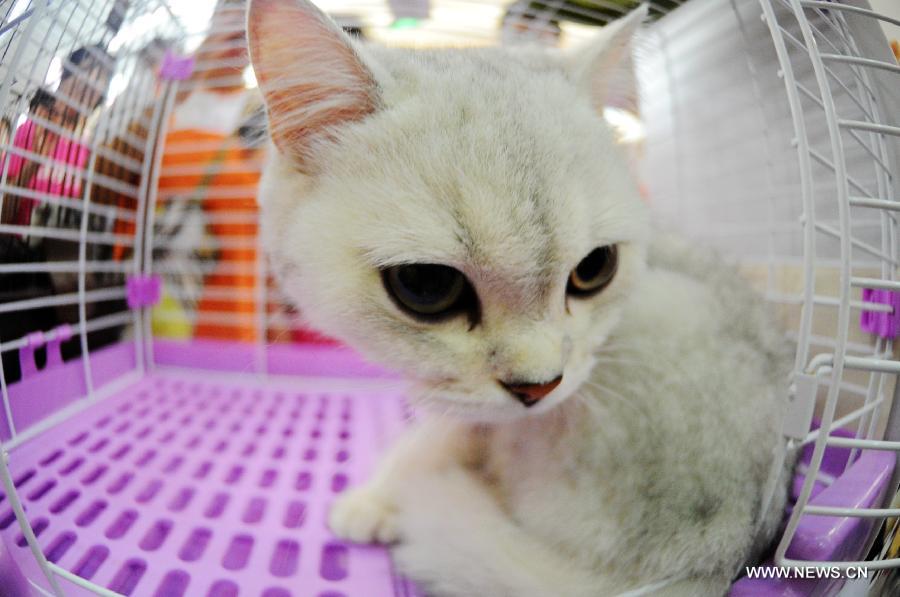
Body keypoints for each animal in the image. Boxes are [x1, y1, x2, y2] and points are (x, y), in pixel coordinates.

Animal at [246, 2, 796, 592]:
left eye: (595, 269)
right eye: (426, 285)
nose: (540, 387)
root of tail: (706, 561)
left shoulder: (481, 417)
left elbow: (440, 436)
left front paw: (379, 495)